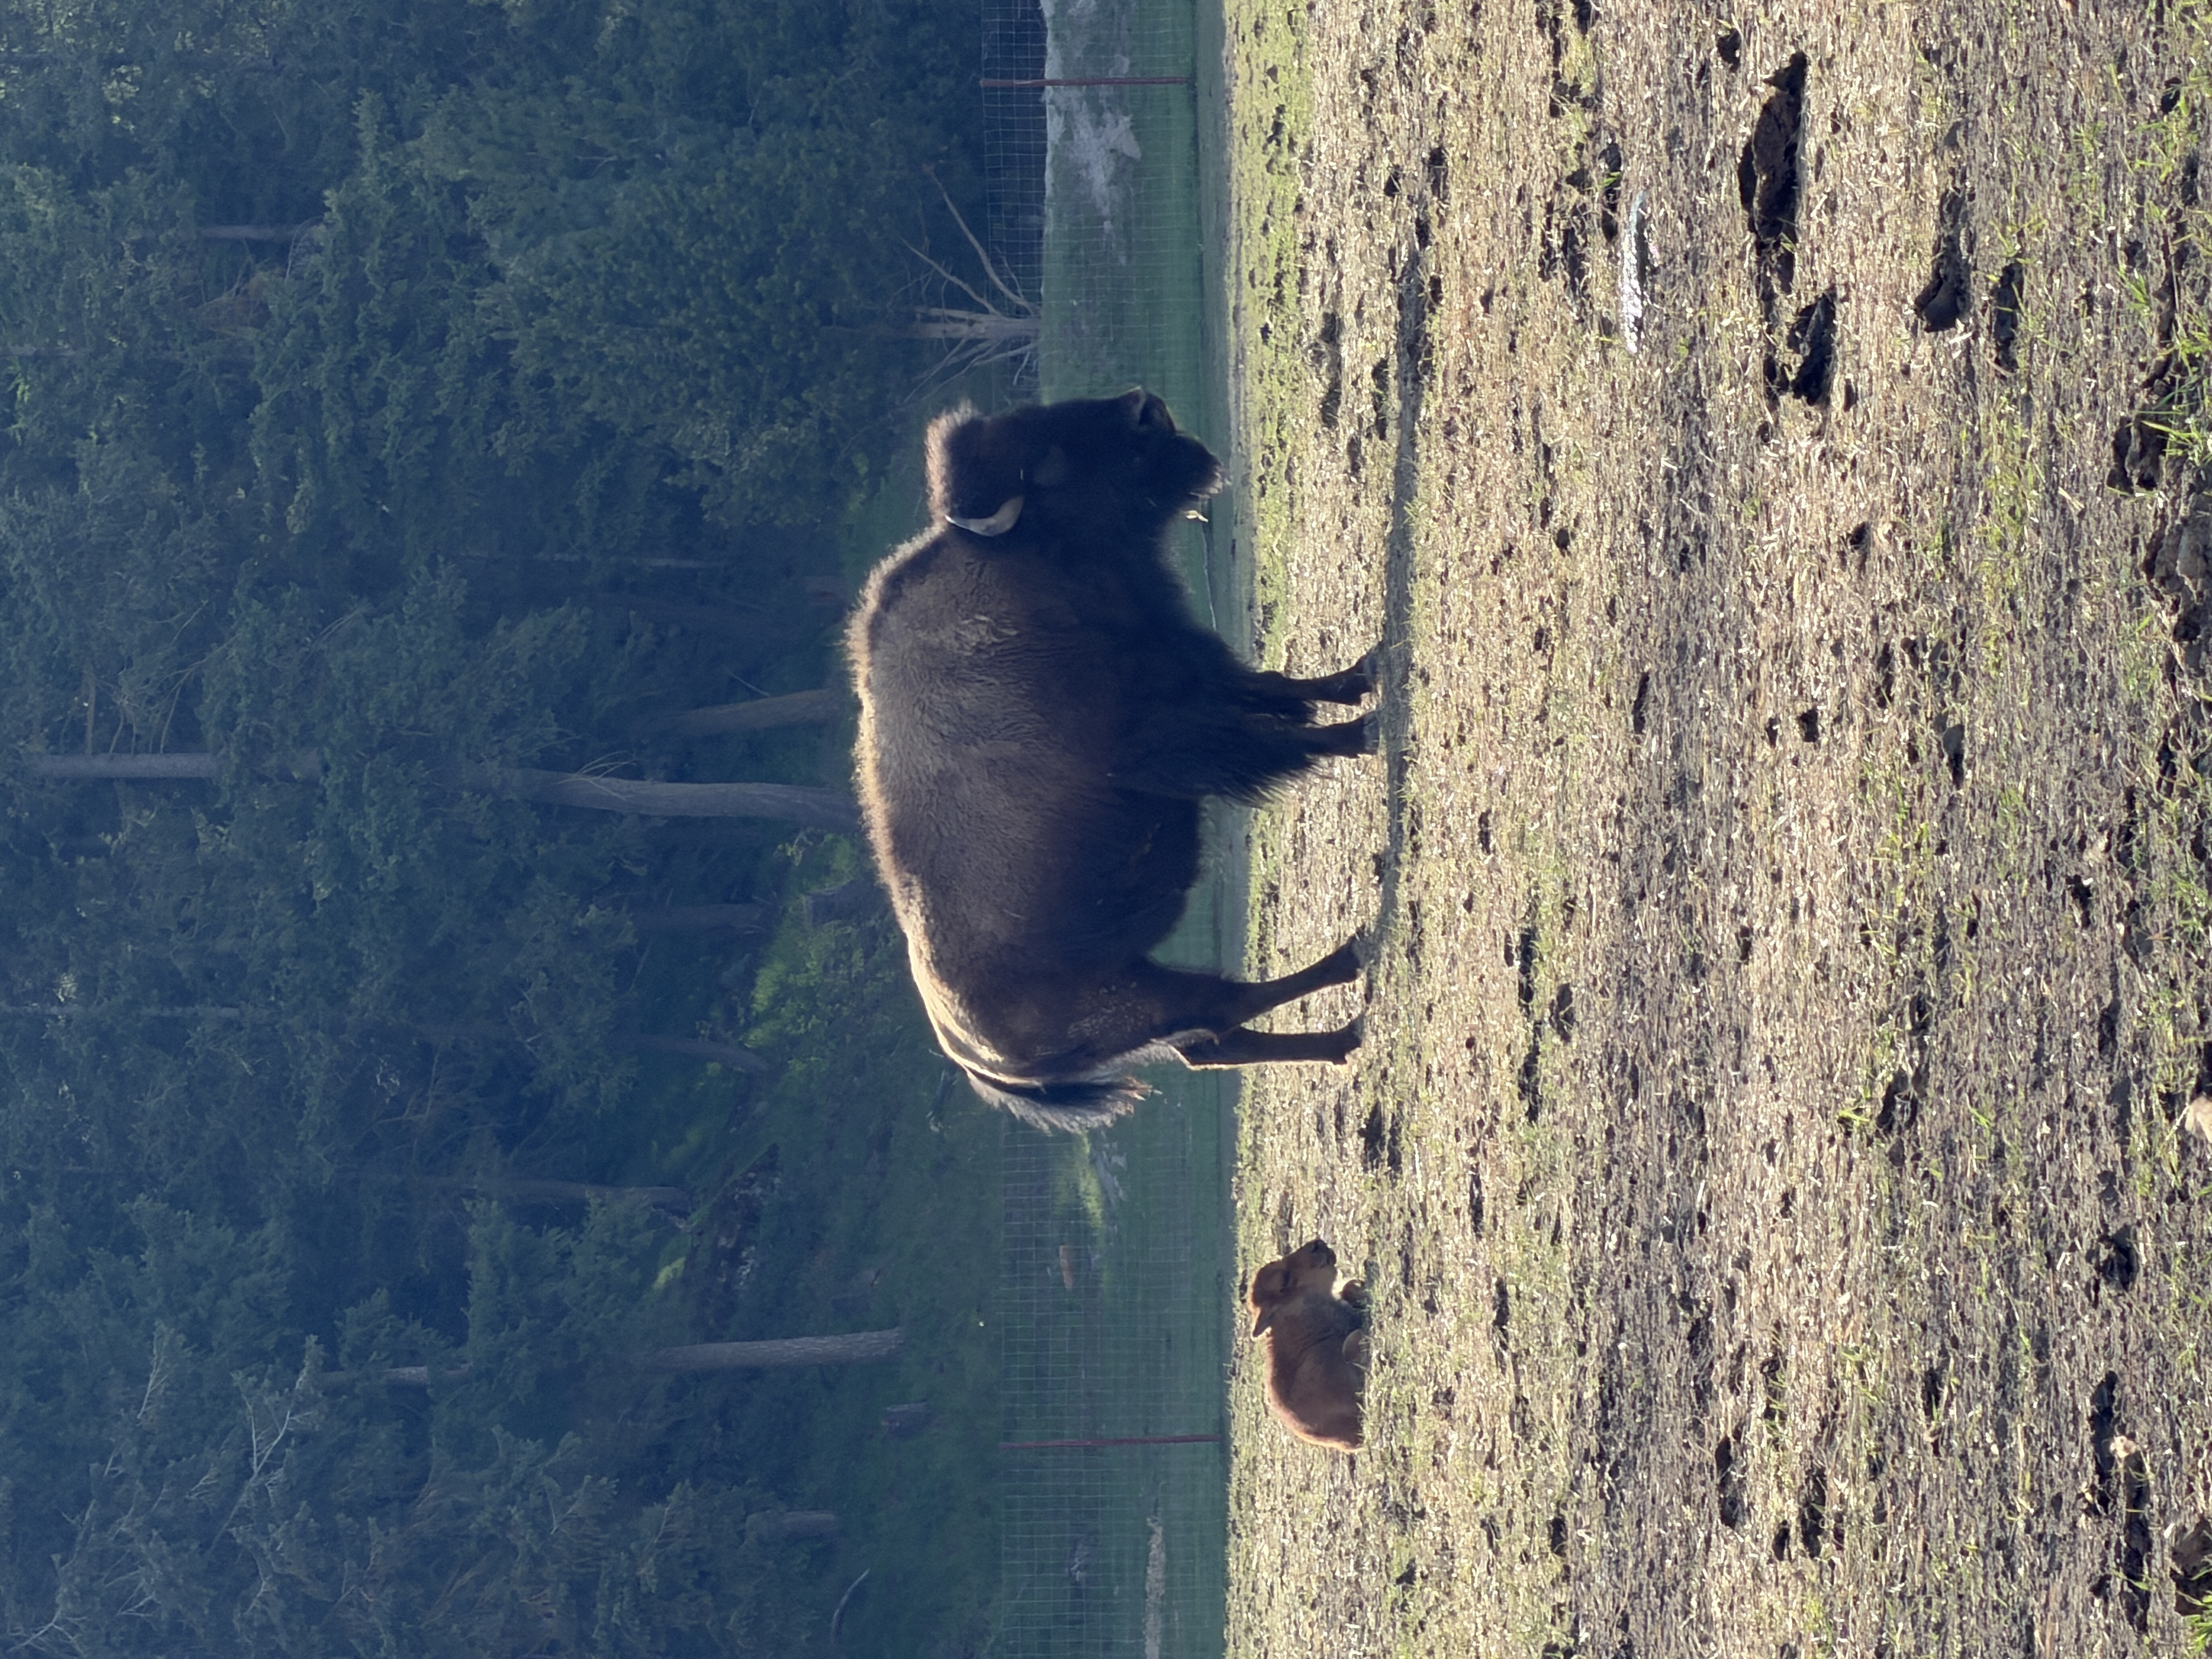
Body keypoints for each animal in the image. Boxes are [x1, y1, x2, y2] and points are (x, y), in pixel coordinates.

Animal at [848, 390, 1377, 1130]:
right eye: (1051, 457)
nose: (1145, 407)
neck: (1023, 561)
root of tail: (968, 1054)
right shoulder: (1169, 735)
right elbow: (1282, 737)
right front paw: (1367, 729)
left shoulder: (1190, 670)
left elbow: (1278, 689)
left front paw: (1361, 677)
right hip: (1134, 995)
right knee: (1223, 1012)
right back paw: (1348, 973)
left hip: (1139, 987)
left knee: (1213, 1038)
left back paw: (1342, 1035)